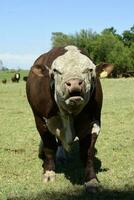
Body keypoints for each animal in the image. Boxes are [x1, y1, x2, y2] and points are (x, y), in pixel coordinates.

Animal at [25, 45, 113, 192]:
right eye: (55, 71)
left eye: (89, 70)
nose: (74, 83)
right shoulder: (41, 120)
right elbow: (49, 147)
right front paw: (49, 173)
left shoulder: (94, 123)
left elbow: (87, 152)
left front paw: (91, 180)